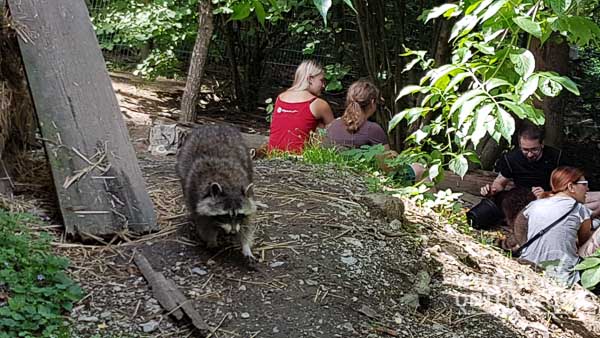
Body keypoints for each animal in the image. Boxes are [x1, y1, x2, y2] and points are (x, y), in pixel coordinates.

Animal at [175, 125, 256, 260]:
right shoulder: (195, 195)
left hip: (247, 157)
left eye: (239, 215)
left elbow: (247, 223)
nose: (233, 232)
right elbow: (203, 223)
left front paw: (245, 245)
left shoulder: (247, 193)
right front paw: (211, 240)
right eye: (225, 215)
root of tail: (214, 125)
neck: (230, 186)